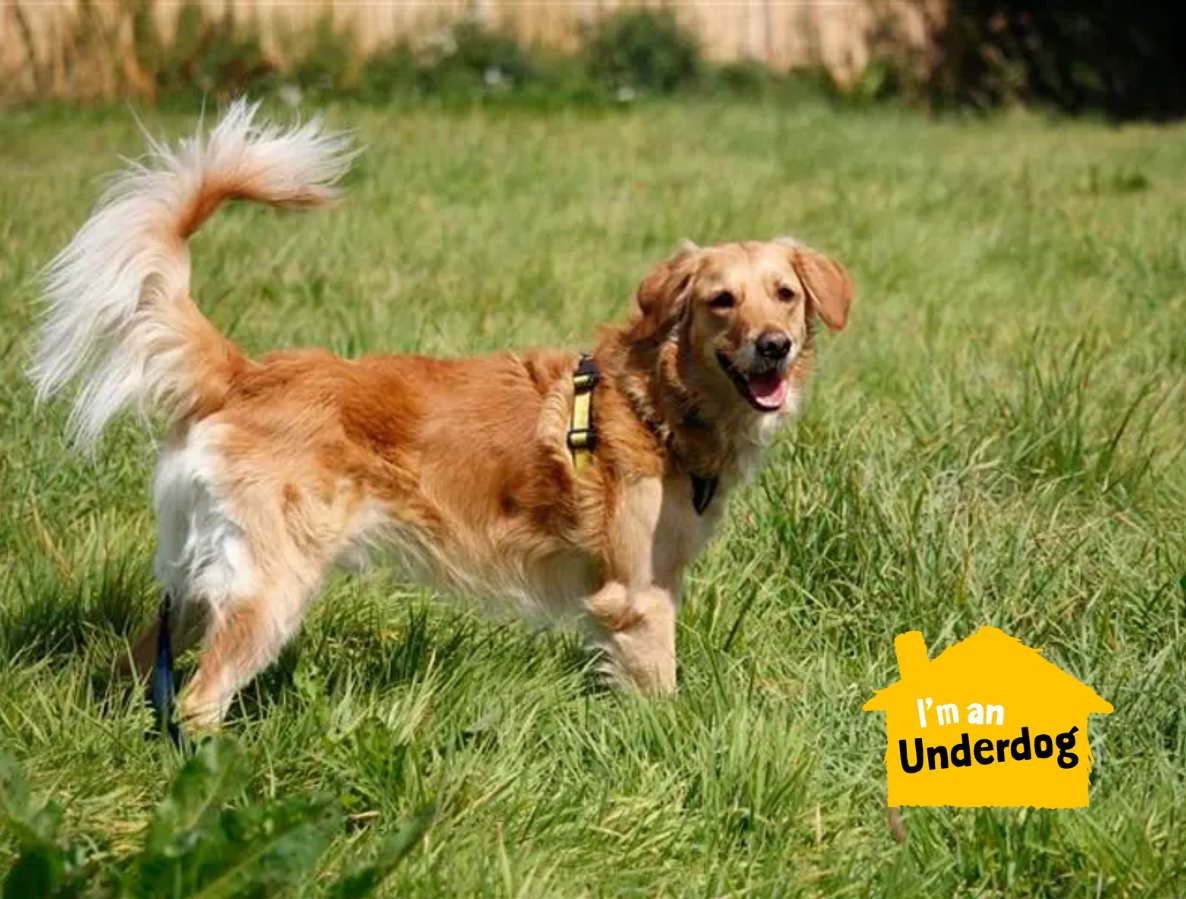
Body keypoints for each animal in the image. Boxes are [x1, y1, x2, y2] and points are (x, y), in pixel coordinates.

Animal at [32, 101, 853, 730]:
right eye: (721, 301)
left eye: (784, 294)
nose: (774, 348)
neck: (654, 398)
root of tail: (244, 371)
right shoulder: (639, 594)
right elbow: (660, 688)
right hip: (268, 583)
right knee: (198, 700)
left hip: (199, 580)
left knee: (141, 667)